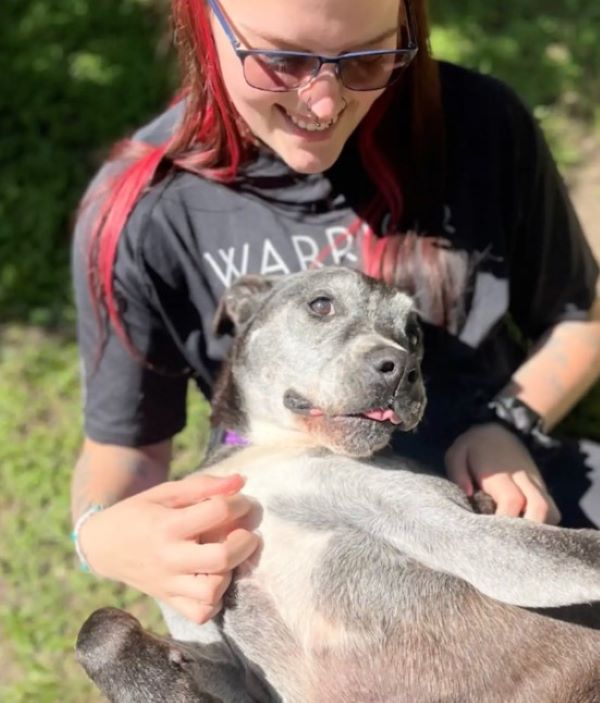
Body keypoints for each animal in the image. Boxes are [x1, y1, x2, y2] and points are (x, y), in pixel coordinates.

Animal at [76, 268, 600, 703]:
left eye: (413, 332)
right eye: (321, 304)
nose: (403, 369)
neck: (272, 447)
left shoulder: (446, 527)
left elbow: (579, 552)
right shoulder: (214, 636)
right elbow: (100, 630)